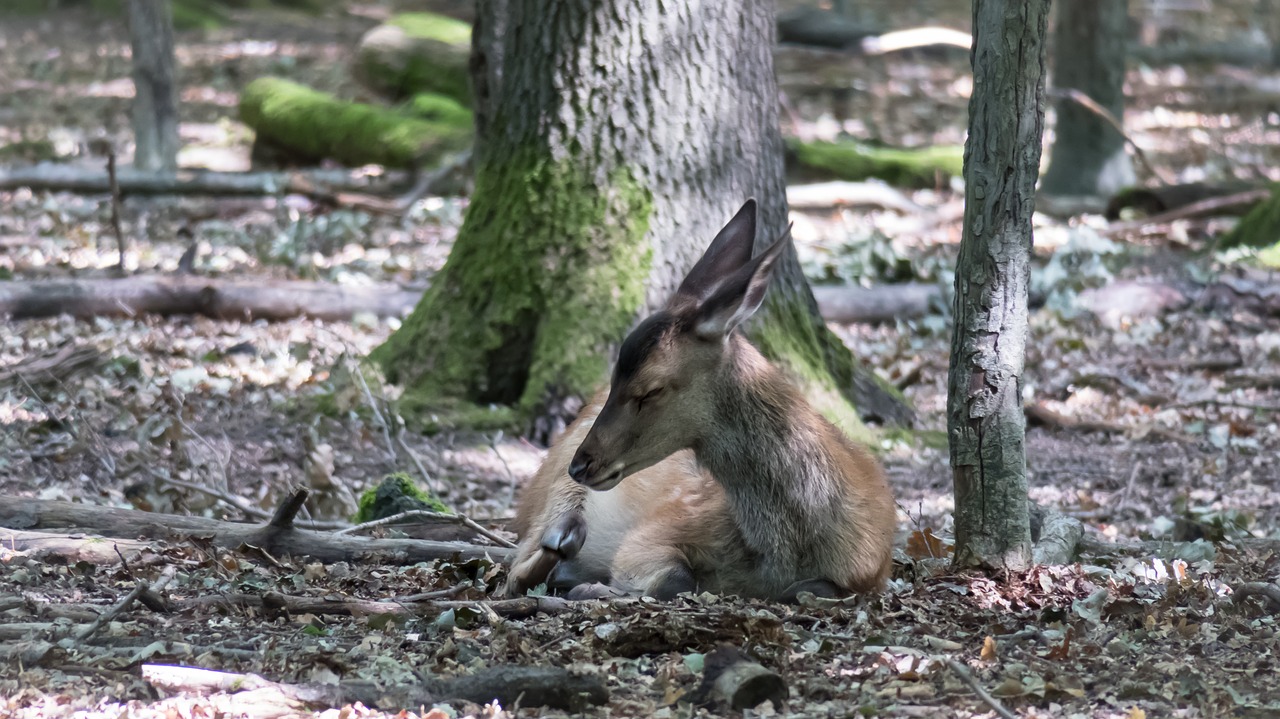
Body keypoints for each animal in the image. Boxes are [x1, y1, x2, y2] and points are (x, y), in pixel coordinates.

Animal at [504, 198, 896, 601]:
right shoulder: (658, 529)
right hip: (557, 492)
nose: (582, 464)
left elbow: (820, 589)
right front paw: (597, 586)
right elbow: (674, 578)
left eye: (650, 389)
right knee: (519, 567)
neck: (781, 556)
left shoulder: (869, 572)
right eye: (612, 379)